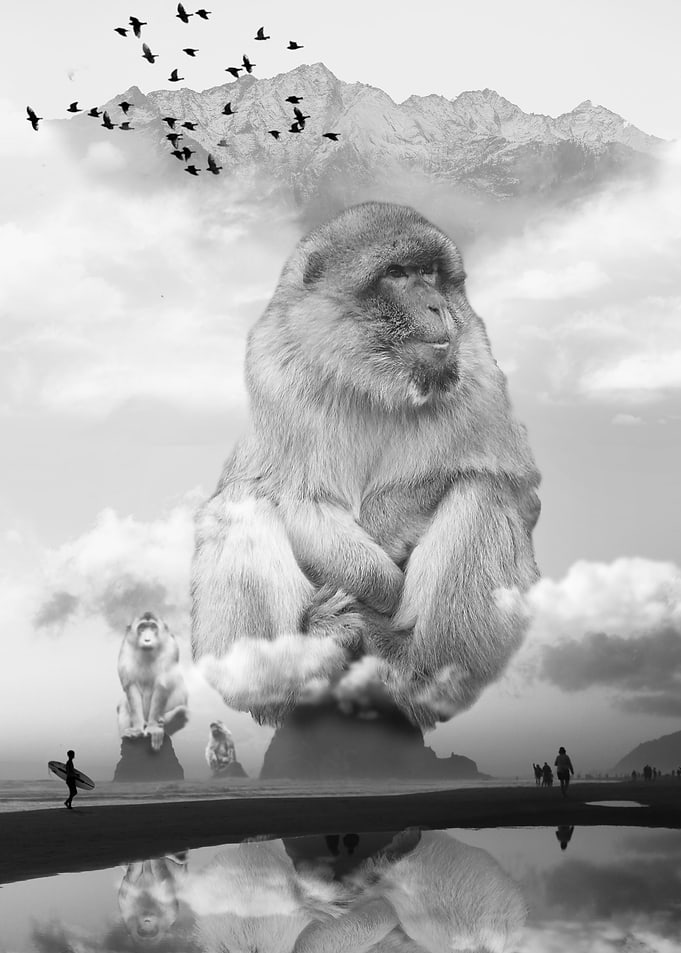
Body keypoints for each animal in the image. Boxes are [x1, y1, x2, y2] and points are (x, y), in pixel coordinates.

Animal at [117, 612, 189, 751]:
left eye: (153, 627)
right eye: (142, 628)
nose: (147, 640)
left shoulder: (170, 649)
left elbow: (162, 685)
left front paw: (153, 727)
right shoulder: (125, 649)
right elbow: (131, 686)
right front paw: (137, 729)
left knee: (182, 712)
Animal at [191, 201, 540, 729]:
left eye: (430, 273)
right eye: (397, 274)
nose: (437, 306)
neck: (370, 380)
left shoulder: (477, 362)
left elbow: (511, 480)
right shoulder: (275, 369)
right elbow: (295, 496)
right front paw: (378, 581)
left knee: (485, 490)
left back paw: (414, 671)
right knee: (239, 502)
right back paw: (293, 666)